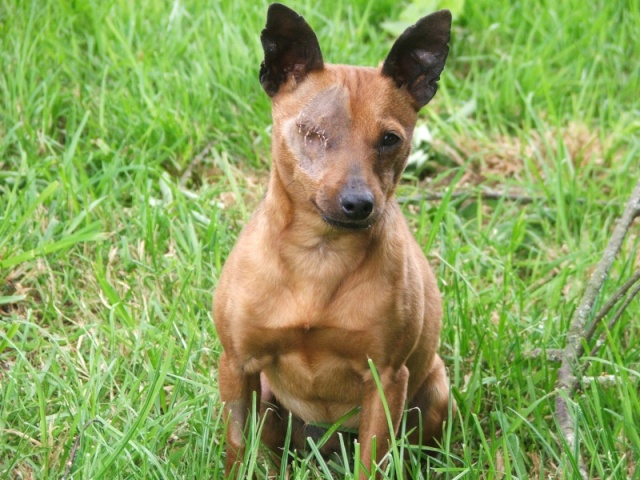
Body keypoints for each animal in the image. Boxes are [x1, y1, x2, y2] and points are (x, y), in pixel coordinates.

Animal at [216, 2, 456, 476]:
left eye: (390, 139)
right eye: (312, 132)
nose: (358, 202)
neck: (319, 257)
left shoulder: (385, 380)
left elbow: (373, 461)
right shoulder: (236, 366)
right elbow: (237, 447)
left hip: (434, 392)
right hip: (267, 400)